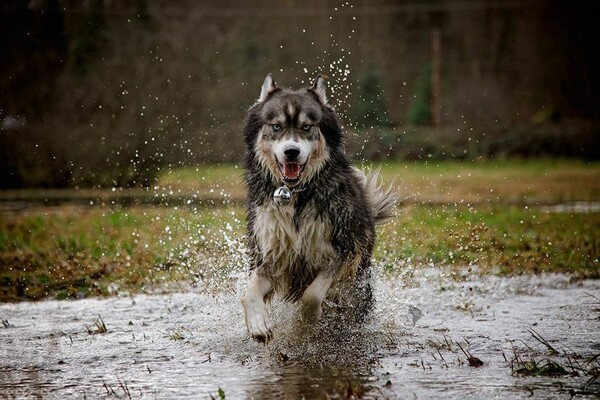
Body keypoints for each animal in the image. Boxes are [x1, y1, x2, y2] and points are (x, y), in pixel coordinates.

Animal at [241, 76, 396, 344]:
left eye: (306, 127)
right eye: (276, 126)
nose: (291, 152)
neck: (294, 195)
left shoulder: (341, 252)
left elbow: (312, 295)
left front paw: (308, 323)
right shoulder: (272, 255)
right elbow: (249, 291)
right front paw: (259, 324)